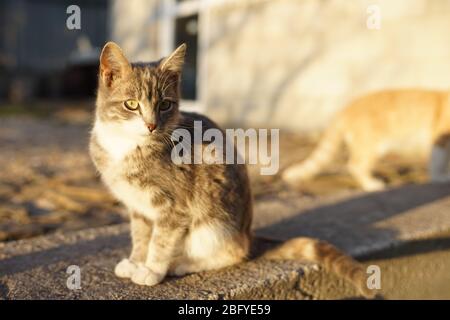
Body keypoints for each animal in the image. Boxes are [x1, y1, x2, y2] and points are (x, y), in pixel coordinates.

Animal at [284, 89, 450, 191]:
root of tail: (346, 109)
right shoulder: (439, 139)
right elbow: (437, 162)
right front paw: (440, 177)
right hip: (369, 145)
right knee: (355, 165)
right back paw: (371, 184)